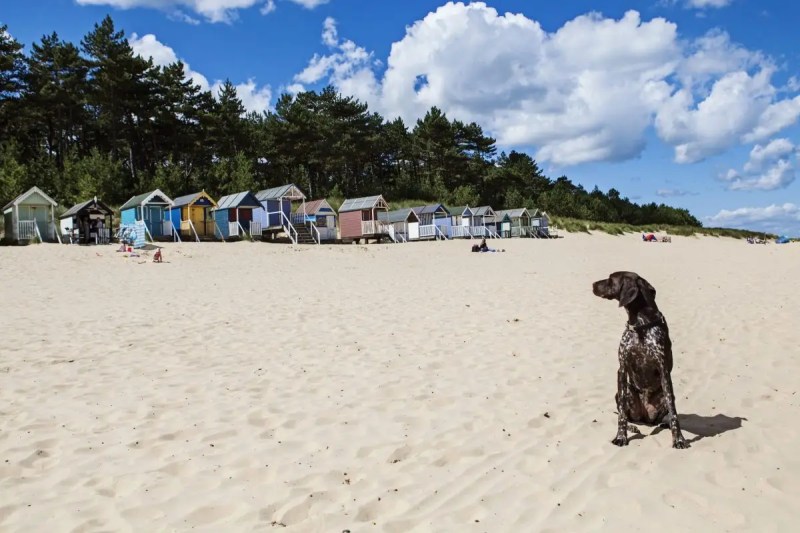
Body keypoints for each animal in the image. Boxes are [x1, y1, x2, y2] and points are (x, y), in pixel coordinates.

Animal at [592, 270, 692, 448]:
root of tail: (645, 417)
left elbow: (674, 412)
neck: (640, 325)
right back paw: (632, 427)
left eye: (610, 279)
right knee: (628, 415)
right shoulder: (622, 369)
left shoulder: (664, 370)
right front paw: (621, 436)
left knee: (664, 415)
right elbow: (621, 413)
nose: (592, 284)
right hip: (625, 393)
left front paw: (679, 438)